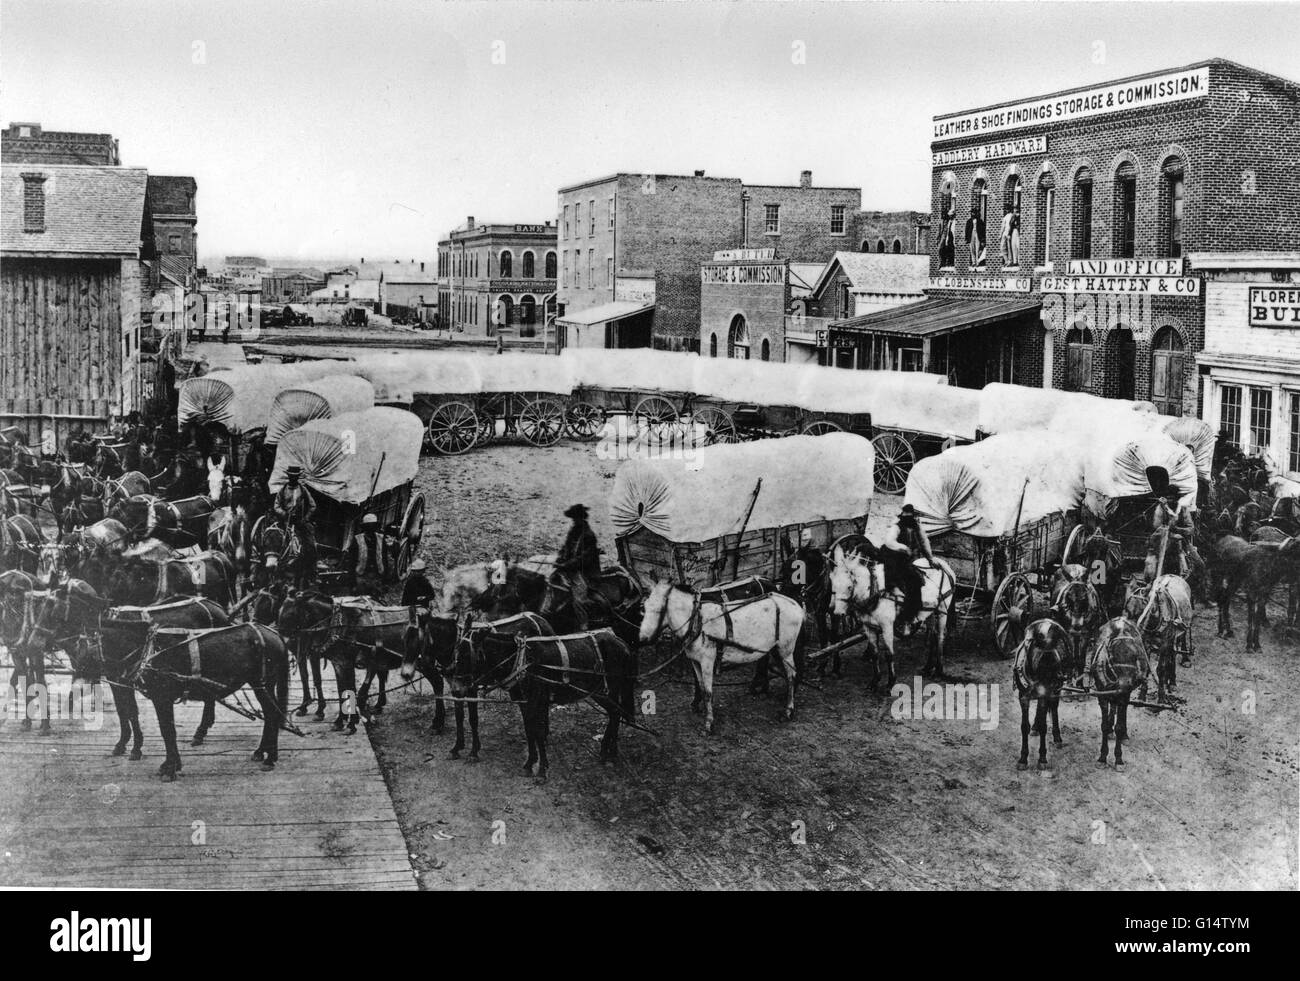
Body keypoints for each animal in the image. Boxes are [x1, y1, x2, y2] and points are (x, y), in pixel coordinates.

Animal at [400, 610, 553, 764]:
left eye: (419, 640)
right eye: (404, 640)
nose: (405, 673)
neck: (455, 646)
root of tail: (540, 619)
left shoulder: (470, 688)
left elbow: (473, 719)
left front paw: (473, 752)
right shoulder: (456, 687)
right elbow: (459, 716)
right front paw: (457, 748)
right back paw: (545, 734)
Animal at [637, 574, 800, 738]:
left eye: (660, 610)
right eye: (644, 607)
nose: (642, 639)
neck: (697, 622)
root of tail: (792, 603)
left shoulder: (707, 662)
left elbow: (708, 692)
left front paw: (709, 724)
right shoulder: (695, 662)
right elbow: (701, 687)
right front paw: (701, 708)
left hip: (786, 650)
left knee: (791, 676)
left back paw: (788, 710)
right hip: (771, 648)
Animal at [826, 545, 961, 691]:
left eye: (849, 586)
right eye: (833, 583)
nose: (837, 612)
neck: (874, 592)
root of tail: (943, 564)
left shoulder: (887, 627)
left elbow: (889, 654)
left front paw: (891, 683)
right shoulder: (869, 627)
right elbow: (874, 653)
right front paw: (874, 681)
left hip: (942, 610)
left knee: (940, 637)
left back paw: (938, 670)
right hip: (929, 612)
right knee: (933, 636)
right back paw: (928, 667)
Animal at [1008, 621, 1071, 774]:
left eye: (1055, 655)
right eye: (1040, 653)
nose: (1059, 677)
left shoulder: (1046, 694)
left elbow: (1044, 726)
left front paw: (1042, 759)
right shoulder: (1023, 697)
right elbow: (1024, 726)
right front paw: (1023, 759)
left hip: (1053, 694)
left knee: (1053, 708)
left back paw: (1057, 737)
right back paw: (1035, 727)